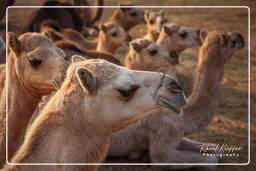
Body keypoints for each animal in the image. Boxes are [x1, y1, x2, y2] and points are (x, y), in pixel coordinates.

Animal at [107, 30, 245, 170]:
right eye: (232, 42)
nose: (241, 36)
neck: (183, 117)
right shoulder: (164, 137)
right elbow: (211, 161)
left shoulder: (177, 135)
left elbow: (215, 147)